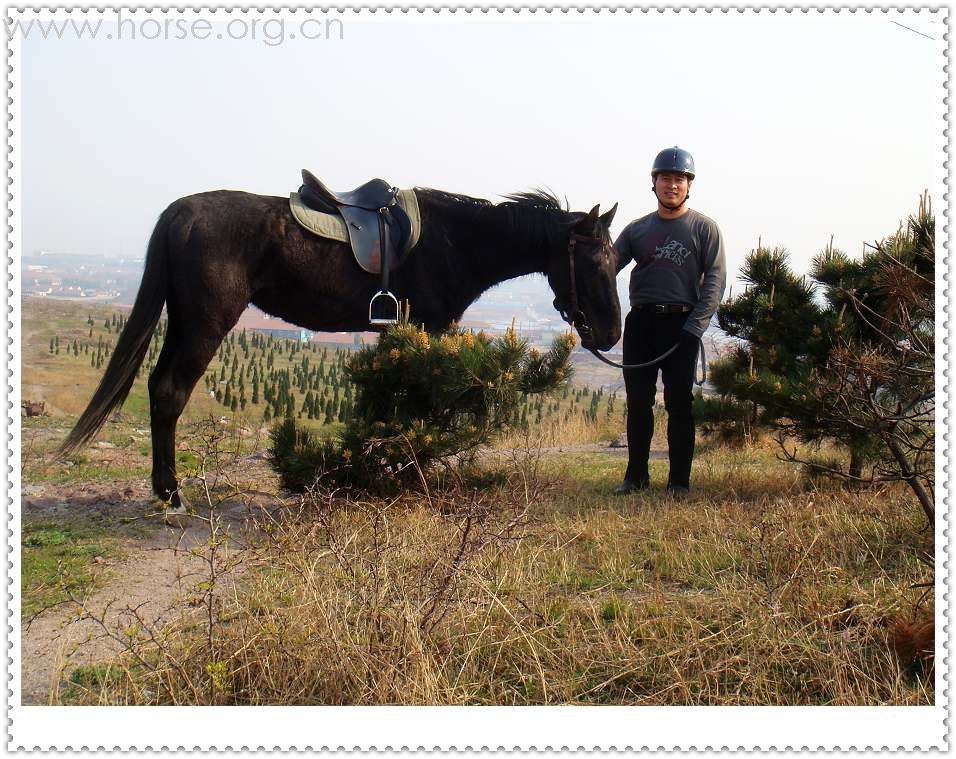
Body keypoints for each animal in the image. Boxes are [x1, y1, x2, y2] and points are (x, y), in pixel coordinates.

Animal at [59, 183, 620, 510]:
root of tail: (181, 213)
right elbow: (422, 408)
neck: (456, 241)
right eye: (595, 262)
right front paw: (412, 471)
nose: (611, 334)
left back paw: (164, 487)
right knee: (171, 392)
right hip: (205, 324)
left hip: (183, 320)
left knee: (158, 388)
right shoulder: (430, 329)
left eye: (618, 261)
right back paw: (173, 493)